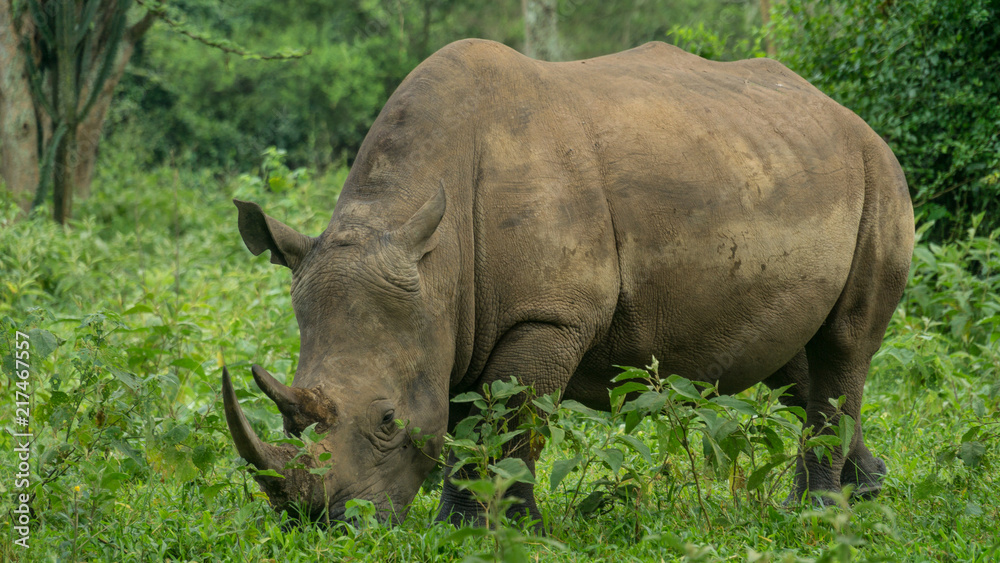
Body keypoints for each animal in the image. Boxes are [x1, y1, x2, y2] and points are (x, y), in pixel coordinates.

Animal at [222, 39, 914, 526]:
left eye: (389, 420)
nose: (328, 524)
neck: (431, 256)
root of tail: (849, 116)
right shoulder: (460, 319)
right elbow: (477, 420)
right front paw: (509, 526)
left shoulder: (549, 314)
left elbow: (504, 420)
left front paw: (473, 529)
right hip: (776, 161)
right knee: (797, 362)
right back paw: (863, 492)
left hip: (878, 177)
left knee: (843, 345)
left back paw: (816, 514)